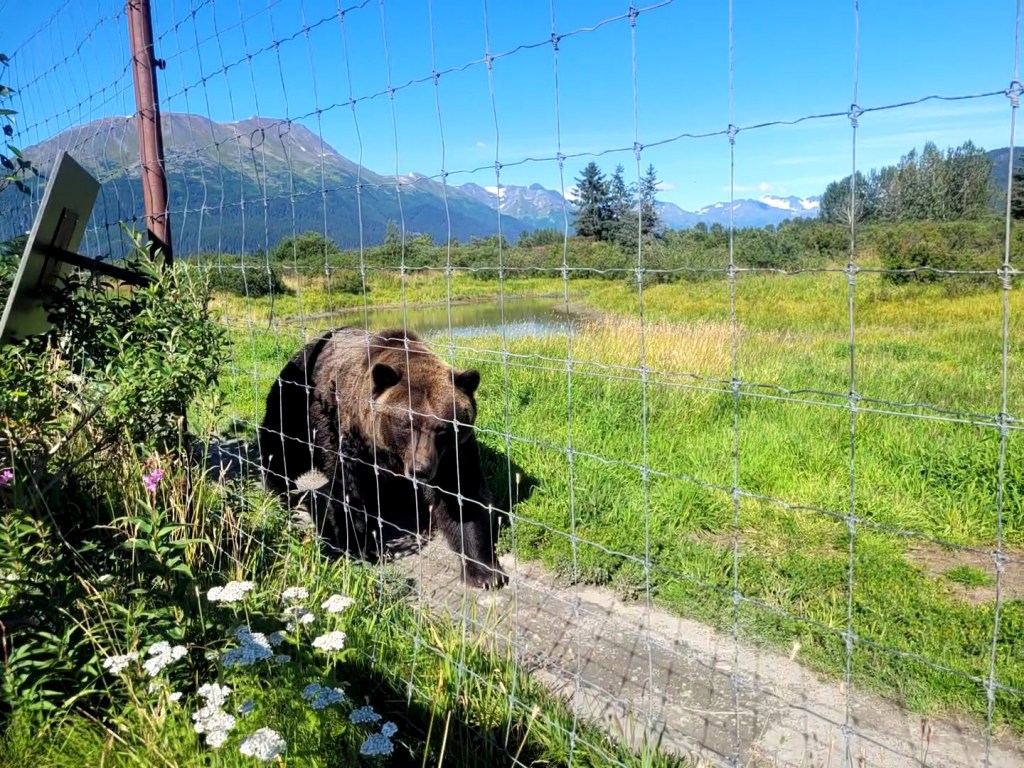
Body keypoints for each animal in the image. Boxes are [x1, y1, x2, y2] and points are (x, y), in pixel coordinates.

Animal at [257, 326, 508, 589]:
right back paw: (278, 486)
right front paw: (360, 544)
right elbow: (350, 489)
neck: (392, 452)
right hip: (295, 398)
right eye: (406, 423)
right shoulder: (350, 437)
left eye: (443, 429)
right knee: (282, 444)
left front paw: (485, 572)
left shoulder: (452, 454)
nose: (420, 470)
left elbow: (463, 495)